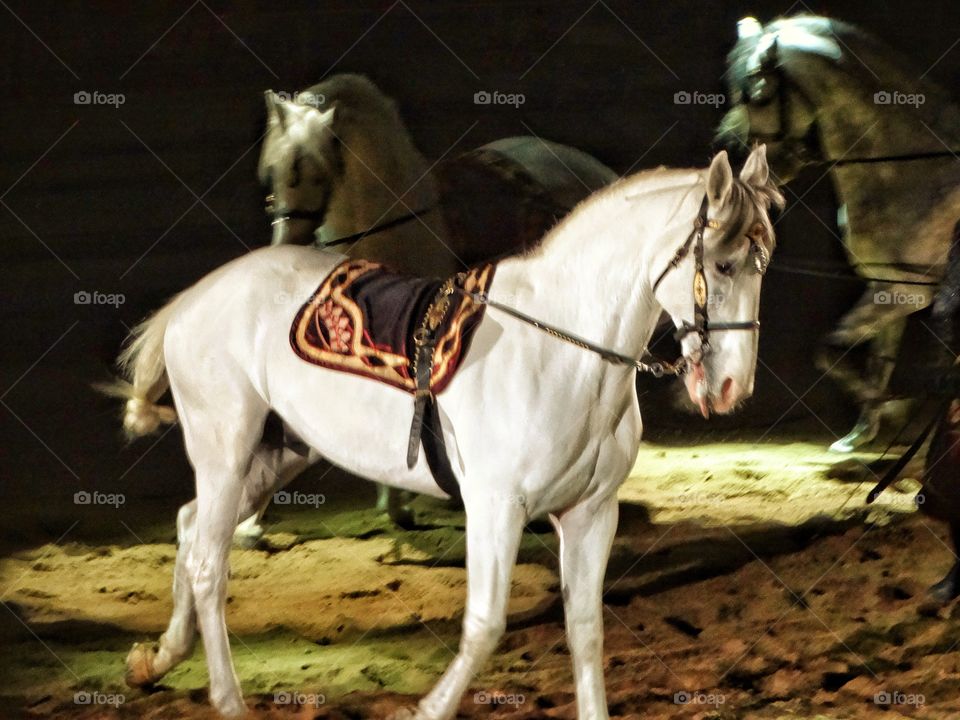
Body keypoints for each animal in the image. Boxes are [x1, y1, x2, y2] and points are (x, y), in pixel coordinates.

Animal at [111, 146, 781, 719]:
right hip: (224, 448)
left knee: (191, 527)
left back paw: (157, 660)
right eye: (722, 264)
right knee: (209, 564)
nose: (731, 386)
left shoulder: (592, 513)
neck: (561, 349)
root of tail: (193, 298)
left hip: (278, 454)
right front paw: (426, 708)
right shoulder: (496, 506)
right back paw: (226, 698)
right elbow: (485, 624)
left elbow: (586, 630)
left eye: (762, 267)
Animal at [716, 15, 960, 452]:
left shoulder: (908, 290)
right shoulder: (888, 287)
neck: (908, 168)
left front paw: (897, 411)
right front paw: (864, 431)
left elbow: (828, 350)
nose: (731, 155)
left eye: (759, 93)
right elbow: (872, 360)